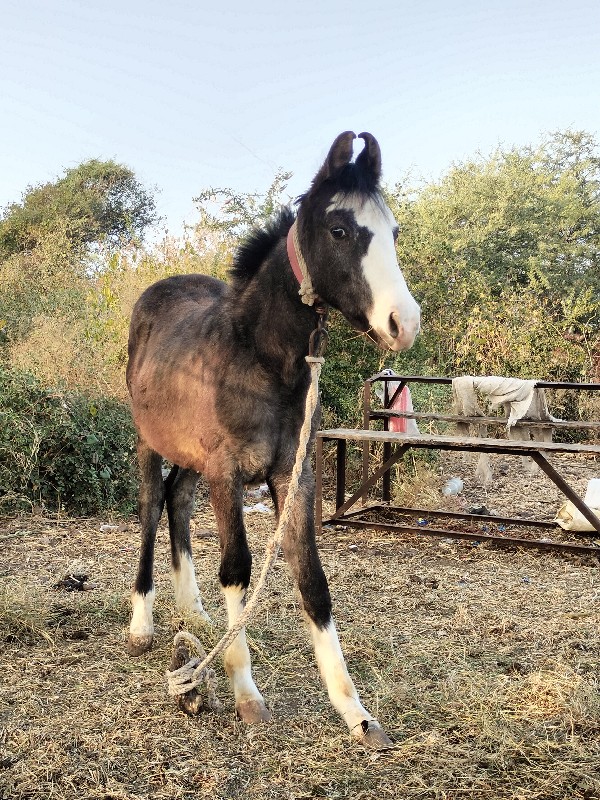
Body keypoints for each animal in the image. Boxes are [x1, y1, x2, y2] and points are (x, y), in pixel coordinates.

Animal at [125, 128, 420, 748]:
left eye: (394, 232)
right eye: (339, 229)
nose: (403, 324)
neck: (261, 359)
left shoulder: (294, 475)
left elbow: (312, 578)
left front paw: (354, 712)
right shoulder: (229, 473)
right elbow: (237, 568)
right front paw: (246, 694)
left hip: (193, 460)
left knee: (177, 499)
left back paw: (195, 613)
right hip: (152, 444)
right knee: (150, 507)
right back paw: (143, 621)